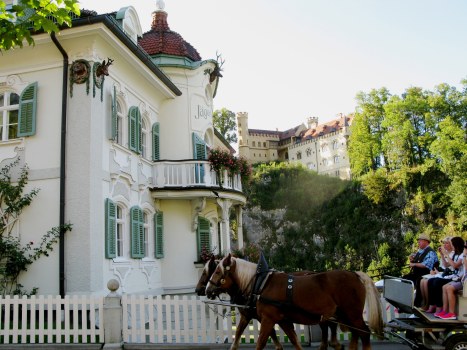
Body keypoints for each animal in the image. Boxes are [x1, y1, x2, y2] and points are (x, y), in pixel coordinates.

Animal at [206, 254, 384, 350]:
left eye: (217, 271)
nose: (207, 289)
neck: (262, 284)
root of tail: (355, 274)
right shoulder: (282, 320)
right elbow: (294, 340)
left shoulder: (268, 319)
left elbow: (261, 342)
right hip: (344, 315)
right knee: (356, 333)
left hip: (352, 314)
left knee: (364, 333)